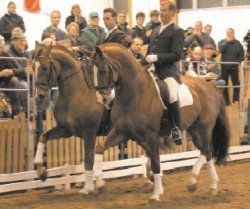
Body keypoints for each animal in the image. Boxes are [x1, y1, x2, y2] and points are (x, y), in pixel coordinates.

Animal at [32, 42, 105, 194]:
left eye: (44, 67)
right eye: (32, 67)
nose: (39, 97)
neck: (76, 93)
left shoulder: (89, 133)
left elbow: (88, 160)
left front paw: (88, 188)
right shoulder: (65, 130)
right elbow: (43, 137)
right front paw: (41, 171)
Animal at [91, 43, 229, 202]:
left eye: (103, 70)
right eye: (91, 72)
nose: (102, 99)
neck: (134, 93)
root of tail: (210, 85)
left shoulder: (151, 135)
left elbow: (156, 162)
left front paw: (156, 194)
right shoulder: (122, 132)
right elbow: (100, 148)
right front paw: (100, 183)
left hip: (203, 128)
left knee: (207, 150)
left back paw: (212, 185)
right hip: (194, 129)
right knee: (204, 150)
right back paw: (193, 182)